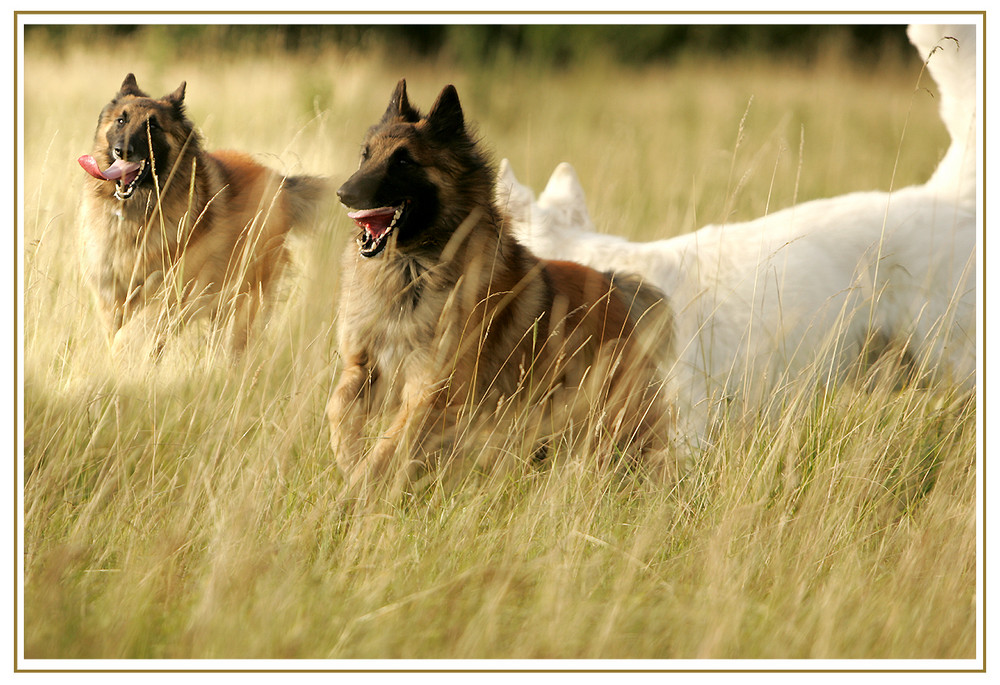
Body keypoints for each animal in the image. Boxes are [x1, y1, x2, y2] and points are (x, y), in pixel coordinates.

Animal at [80, 73, 328, 356]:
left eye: (153, 126)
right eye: (121, 120)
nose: (123, 151)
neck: (140, 213)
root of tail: (280, 181)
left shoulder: (173, 294)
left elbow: (129, 334)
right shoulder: (111, 299)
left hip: (242, 304)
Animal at [326, 81, 672, 496]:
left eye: (404, 162)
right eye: (365, 156)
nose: (343, 193)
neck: (412, 270)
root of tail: (614, 285)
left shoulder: (432, 390)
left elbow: (386, 449)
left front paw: (354, 489)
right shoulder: (363, 367)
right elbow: (337, 409)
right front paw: (348, 461)